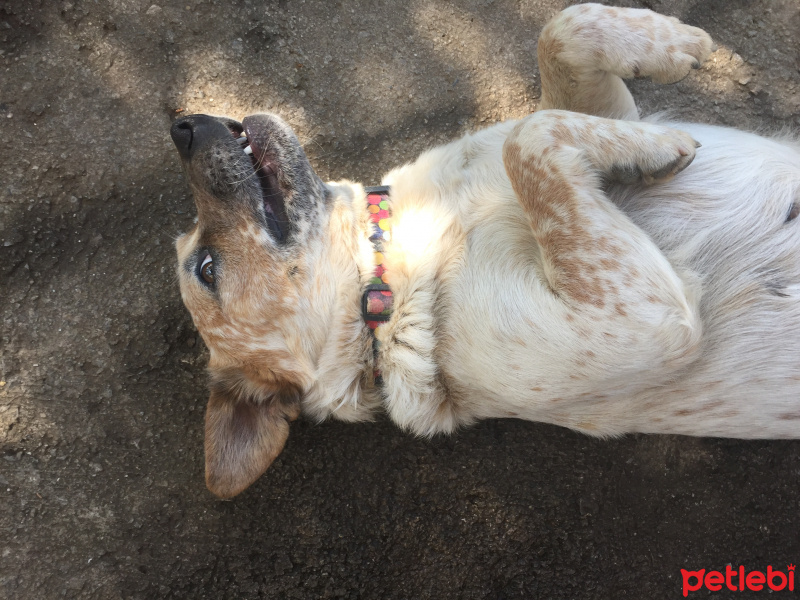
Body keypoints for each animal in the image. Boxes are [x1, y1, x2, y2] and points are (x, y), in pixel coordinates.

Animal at [169, 4, 800, 500]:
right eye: (206, 268)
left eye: (194, 255)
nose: (183, 127)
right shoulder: (633, 320)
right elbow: (531, 138)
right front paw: (656, 145)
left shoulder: (603, 109)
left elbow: (561, 34)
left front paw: (672, 46)